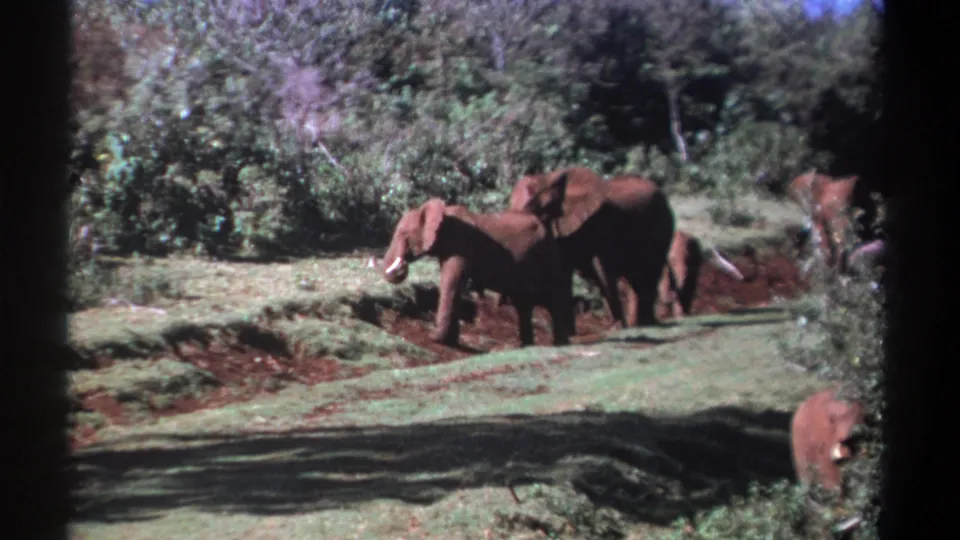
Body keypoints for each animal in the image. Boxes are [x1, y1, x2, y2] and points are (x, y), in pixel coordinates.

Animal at [381, 196, 575, 348]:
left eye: (403, 233)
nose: (401, 266)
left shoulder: (461, 245)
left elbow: (451, 282)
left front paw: (435, 338)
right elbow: (453, 286)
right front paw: (450, 341)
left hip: (547, 253)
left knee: (552, 298)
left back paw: (559, 345)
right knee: (523, 303)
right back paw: (526, 347)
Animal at [509, 167, 676, 328]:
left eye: (545, 204)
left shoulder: (602, 222)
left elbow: (604, 271)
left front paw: (617, 327)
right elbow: (564, 274)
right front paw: (571, 333)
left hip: (662, 225)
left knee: (650, 273)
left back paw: (647, 323)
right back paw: (642, 324)